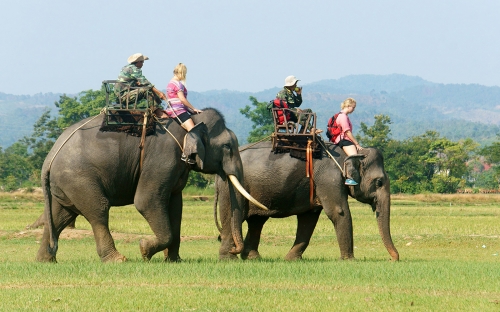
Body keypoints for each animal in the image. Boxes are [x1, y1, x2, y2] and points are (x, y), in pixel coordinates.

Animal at [215, 141, 398, 260]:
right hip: (231, 189)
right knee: (233, 218)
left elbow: (308, 219)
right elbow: (338, 212)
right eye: (379, 182)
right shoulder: (328, 178)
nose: (394, 258)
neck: (347, 154)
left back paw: (253, 258)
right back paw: (229, 258)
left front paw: (291, 259)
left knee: (257, 221)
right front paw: (350, 260)